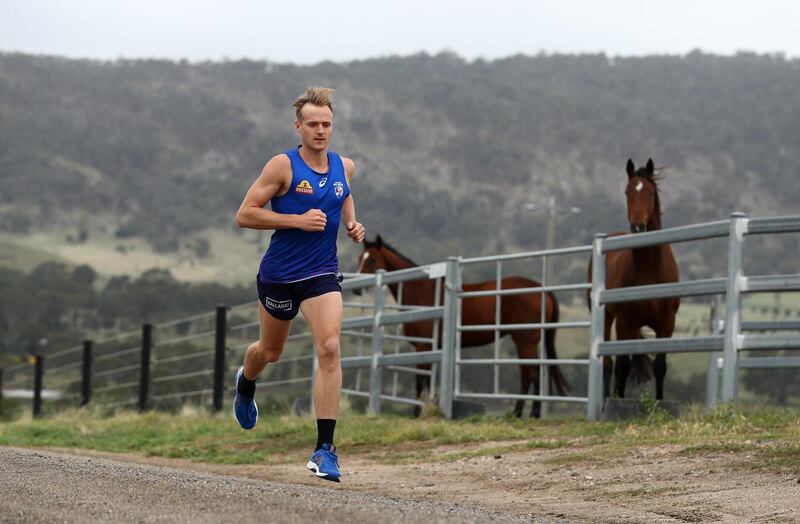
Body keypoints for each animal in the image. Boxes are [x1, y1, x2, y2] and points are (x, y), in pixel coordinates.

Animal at [356, 237, 568, 418]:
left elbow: (421, 382)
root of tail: (542, 290)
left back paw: (523, 413)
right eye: (360, 258)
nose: (357, 288)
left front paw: (417, 414)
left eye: (372, 259)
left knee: (530, 374)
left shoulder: (423, 347)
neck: (421, 292)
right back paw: (527, 414)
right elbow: (427, 382)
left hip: (524, 341)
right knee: (533, 373)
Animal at [588, 159, 680, 402]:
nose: (638, 226)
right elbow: (622, 366)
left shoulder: (667, 322)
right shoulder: (625, 321)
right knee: (609, 364)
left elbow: (660, 366)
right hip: (608, 318)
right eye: (627, 192)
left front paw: (659, 402)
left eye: (650, 192)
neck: (650, 272)